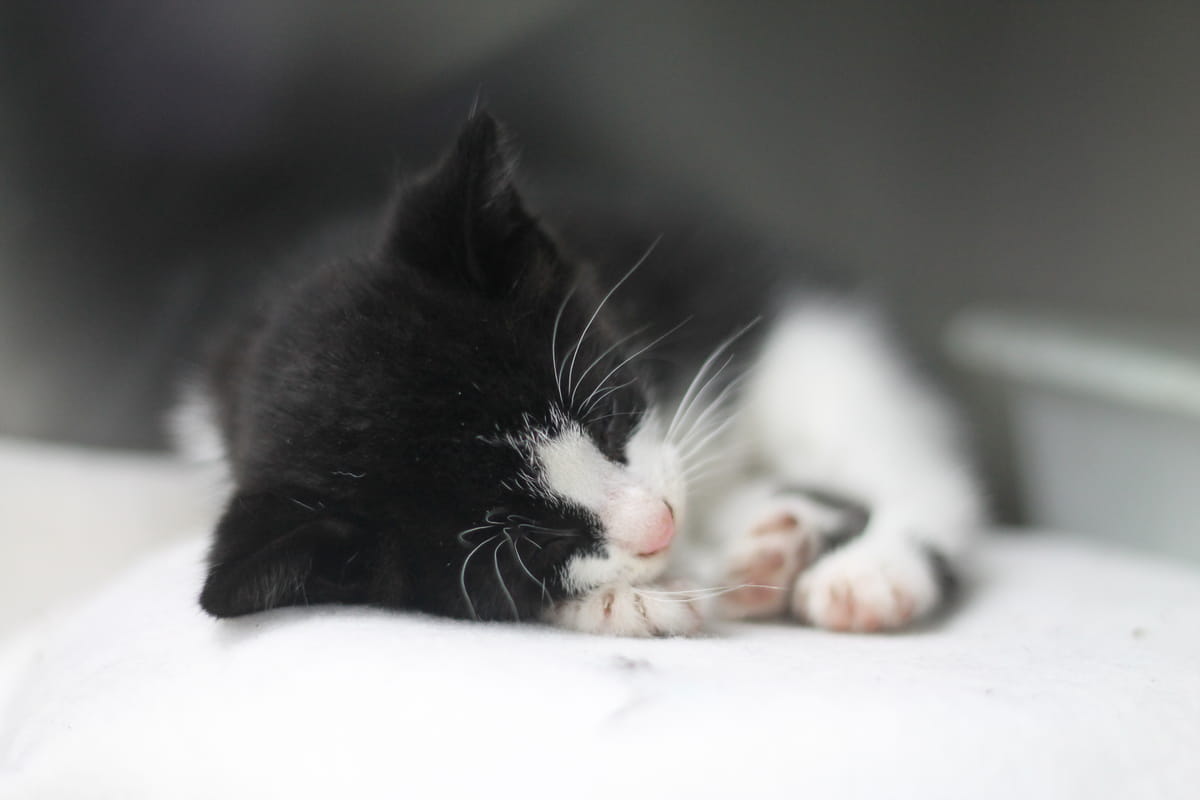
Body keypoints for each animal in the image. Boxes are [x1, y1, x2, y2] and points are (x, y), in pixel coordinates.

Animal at [180, 112, 984, 638]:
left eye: (608, 415)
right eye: (533, 545)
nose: (660, 526)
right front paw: (625, 599)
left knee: (911, 464)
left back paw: (872, 569)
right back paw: (773, 547)